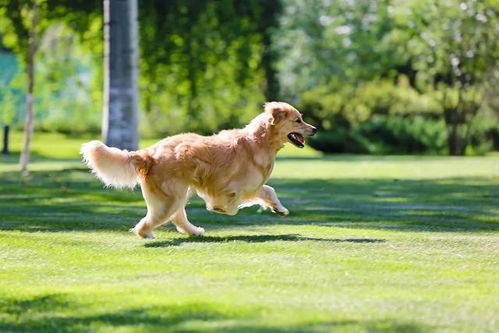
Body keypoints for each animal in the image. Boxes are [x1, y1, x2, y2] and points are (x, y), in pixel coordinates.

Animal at [81, 102, 316, 237]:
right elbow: (232, 206)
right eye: (298, 120)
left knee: (177, 218)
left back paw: (195, 231)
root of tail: (148, 153)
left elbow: (269, 191)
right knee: (150, 222)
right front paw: (219, 208)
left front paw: (280, 209)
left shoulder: (252, 185)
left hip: (177, 195)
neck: (259, 141)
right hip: (171, 197)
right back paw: (147, 235)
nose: (314, 129)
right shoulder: (232, 187)